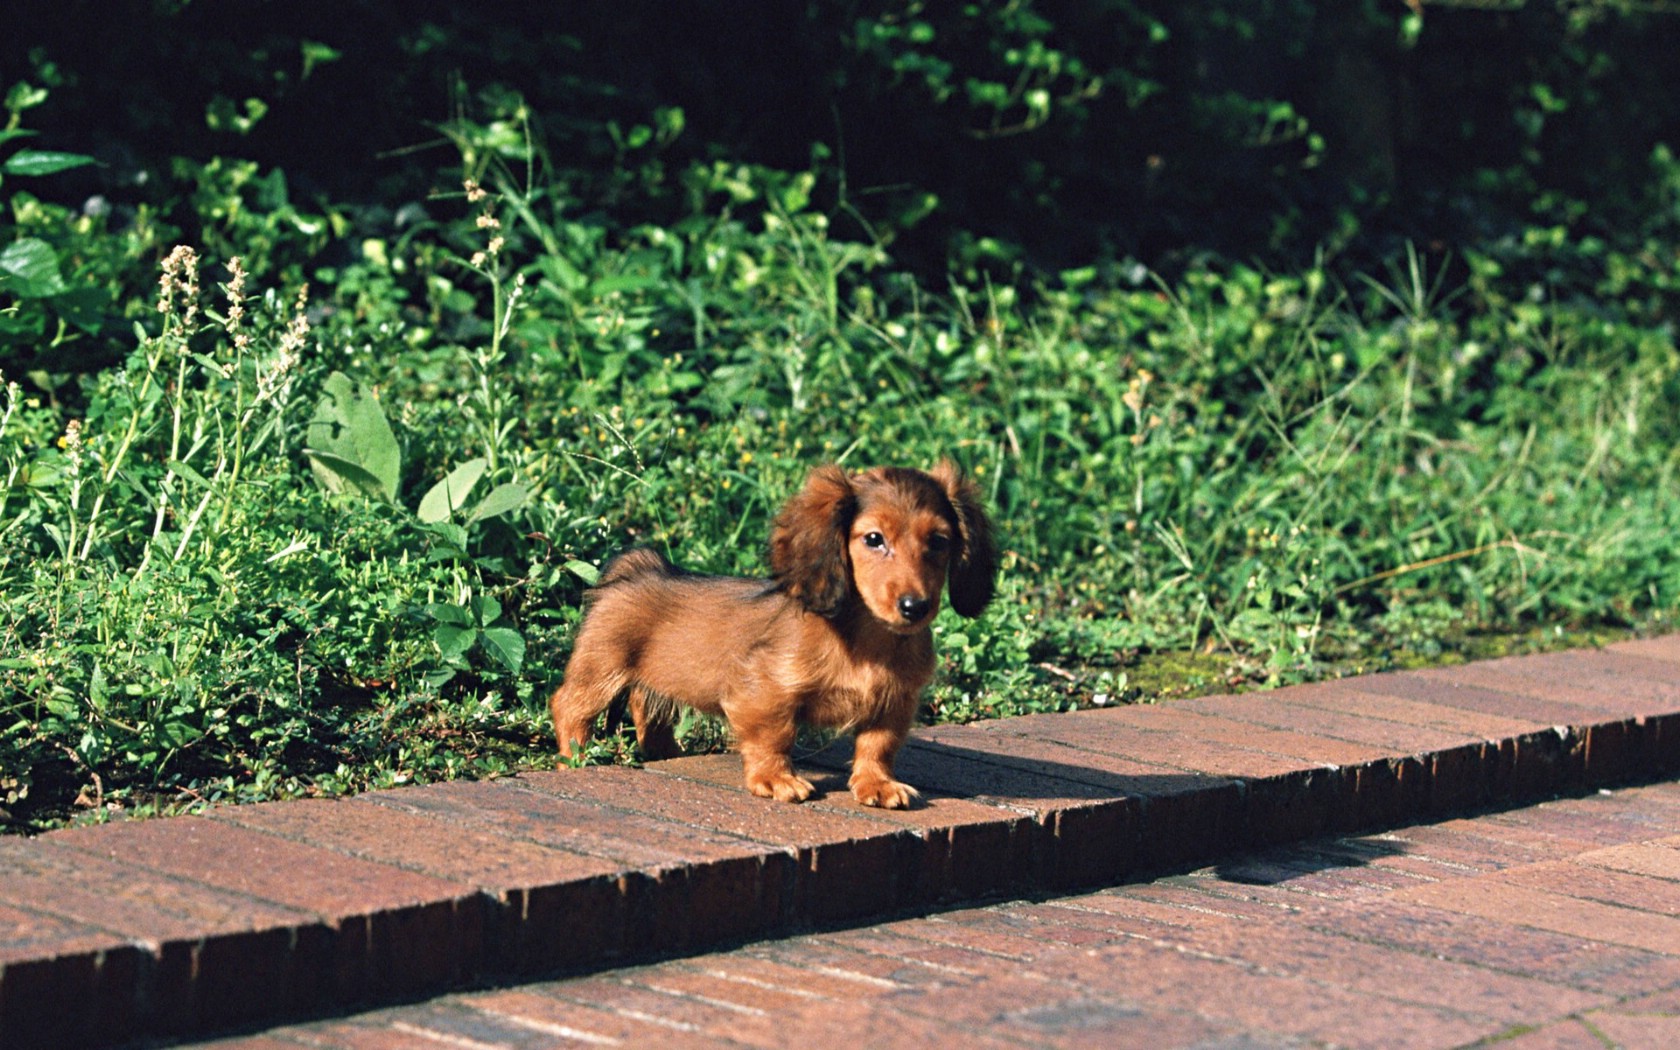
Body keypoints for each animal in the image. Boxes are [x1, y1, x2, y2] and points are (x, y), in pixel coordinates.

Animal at [551, 456, 994, 803]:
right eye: (874, 538)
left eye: (939, 541)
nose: (915, 606)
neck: (867, 640)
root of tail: (638, 569)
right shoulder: (764, 691)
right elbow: (774, 736)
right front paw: (775, 779)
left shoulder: (893, 703)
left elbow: (877, 746)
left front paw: (877, 785)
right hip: (601, 668)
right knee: (568, 706)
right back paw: (576, 758)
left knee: (647, 711)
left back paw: (666, 755)